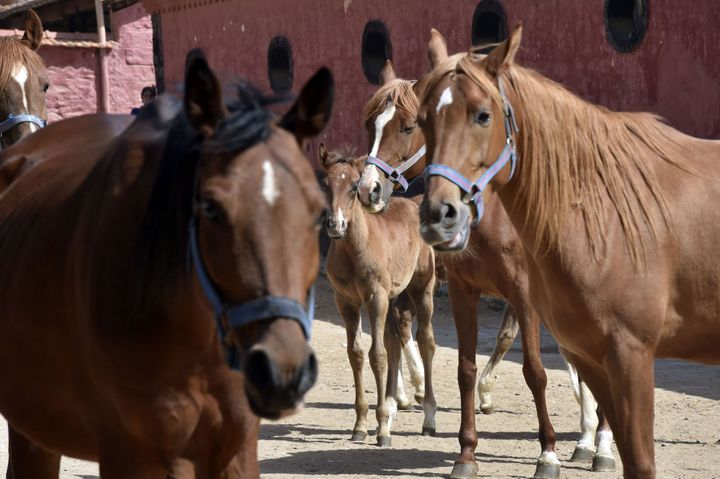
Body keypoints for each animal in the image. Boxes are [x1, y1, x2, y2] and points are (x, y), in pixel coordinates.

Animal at [322, 146, 436, 446]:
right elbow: (357, 354)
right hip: (394, 296)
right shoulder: (345, 302)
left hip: (422, 289)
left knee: (425, 340)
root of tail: (414, 203)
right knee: (394, 338)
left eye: (353, 186)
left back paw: (428, 417)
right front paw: (361, 425)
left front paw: (383, 427)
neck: (355, 249)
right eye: (325, 184)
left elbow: (377, 355)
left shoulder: (376, 298)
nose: (335, 225)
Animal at [358, 58, 616, 478]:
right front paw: (465, 455)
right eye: (371, 126)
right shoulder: (463, 291)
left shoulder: (524, 296)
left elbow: (534, 371)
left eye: (408, 126)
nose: (369, 190)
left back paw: (602, 446)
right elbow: (464, 368)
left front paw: (548, 454)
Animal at [416, 23, 720, 479]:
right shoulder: (586, 352)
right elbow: (468, 368)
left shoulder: (628, 353)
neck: (605, 211)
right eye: (422, 120)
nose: (439, 213)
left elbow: (537, 373)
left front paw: (552, 454)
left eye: (483, 115)